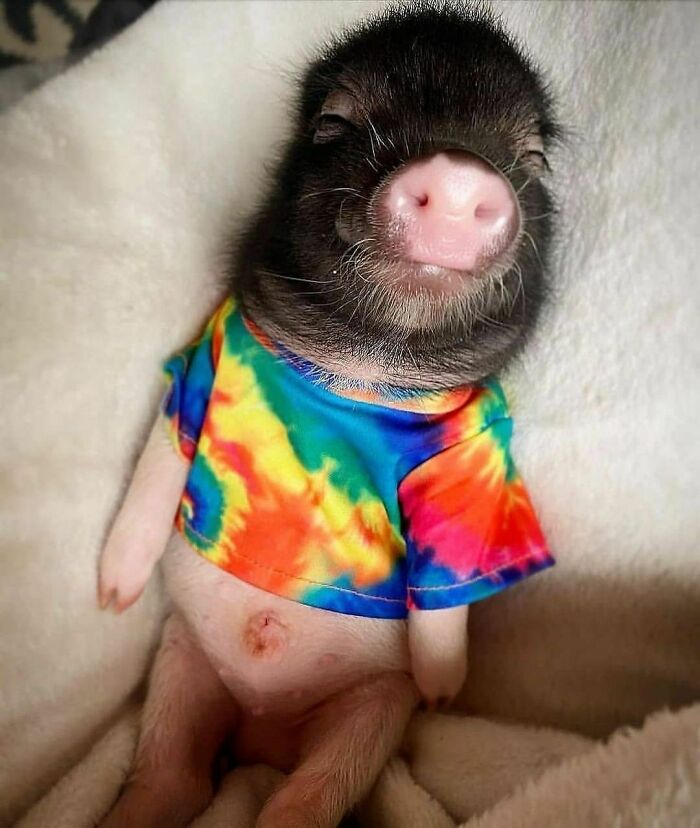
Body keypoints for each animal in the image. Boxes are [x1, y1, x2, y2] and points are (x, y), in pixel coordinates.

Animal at [98, 3, 560, 827]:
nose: (458, 171)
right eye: (332, 122)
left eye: (532, 157)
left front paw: (443, 690)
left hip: (365, 719)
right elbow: (158, 467)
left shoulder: (473, 452)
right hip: (182, 666)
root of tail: (261, 727)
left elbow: (446, 577)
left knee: (301, 801)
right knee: (173, 777)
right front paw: (113, 594)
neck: (365, 366)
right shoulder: (202, 363)